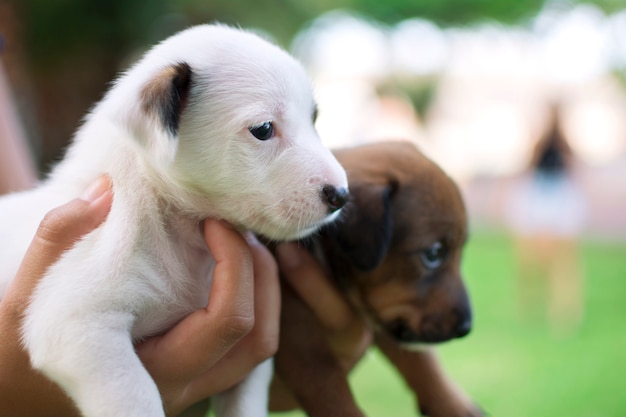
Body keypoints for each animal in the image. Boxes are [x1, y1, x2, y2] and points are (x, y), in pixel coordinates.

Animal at [0, 23, 348, 416]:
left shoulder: (249, 368)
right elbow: (135, 395)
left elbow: (244, 403)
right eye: (262, 128)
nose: (341, 195)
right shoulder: (77, 326)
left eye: (313, 119)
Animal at [270, 141, 480, 414]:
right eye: (433, 254)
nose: (466, 328)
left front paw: (451, 404)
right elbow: (326, 384)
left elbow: (419, 358)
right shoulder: (293, 324)